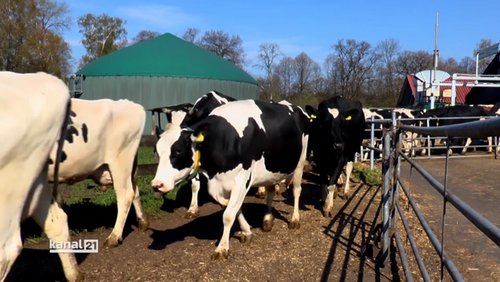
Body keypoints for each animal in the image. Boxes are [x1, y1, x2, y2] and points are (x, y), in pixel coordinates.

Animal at [48, 97, 146, 247]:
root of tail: (130, 103)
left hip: (119, 164)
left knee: (126, 195)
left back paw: (114, 237)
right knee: (135, 190)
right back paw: (143, 222)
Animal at [152, 99, 308, 260]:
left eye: (178, 151)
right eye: (157, 151)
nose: (157, 184)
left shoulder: (242, 179)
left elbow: (227, 215)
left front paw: (222, 248)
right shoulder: (218, 183)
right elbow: (233, 208)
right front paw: (247, 231)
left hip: (300, 162)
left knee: (297, 190)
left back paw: (295, 219)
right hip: (271, 170)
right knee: (270, 190)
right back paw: (267, 219)